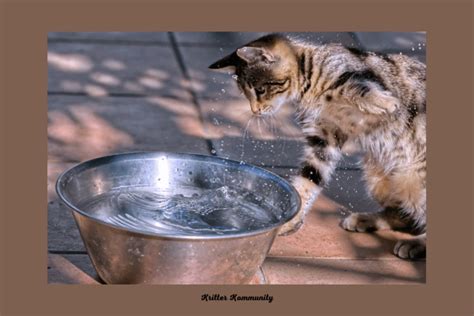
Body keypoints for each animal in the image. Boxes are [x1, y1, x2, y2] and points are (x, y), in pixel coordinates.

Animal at [208, 32, 426, 260]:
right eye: (246, 94)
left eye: (260, 90)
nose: (255, 111)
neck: (310, 86)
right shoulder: (324, 139)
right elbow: (308, 179)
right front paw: (291, 220)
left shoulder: (351, 70)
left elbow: (354, 85)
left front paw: (384, 102)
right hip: (381, 180)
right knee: (408, 218)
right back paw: (366, 220)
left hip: (416, 178)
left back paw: (415, 244)